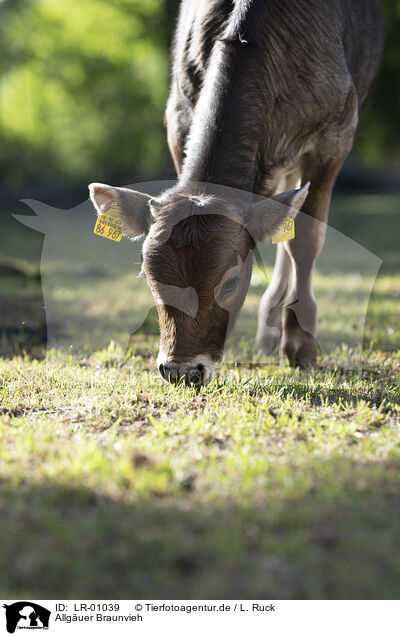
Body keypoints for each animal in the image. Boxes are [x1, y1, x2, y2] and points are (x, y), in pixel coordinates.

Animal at [89, 0, 382, 386]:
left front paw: (302, 344)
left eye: (230, 283)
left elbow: (306, 240)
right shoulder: (178, 121)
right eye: (150, 278)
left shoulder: (335, 135)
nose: (182, 371)